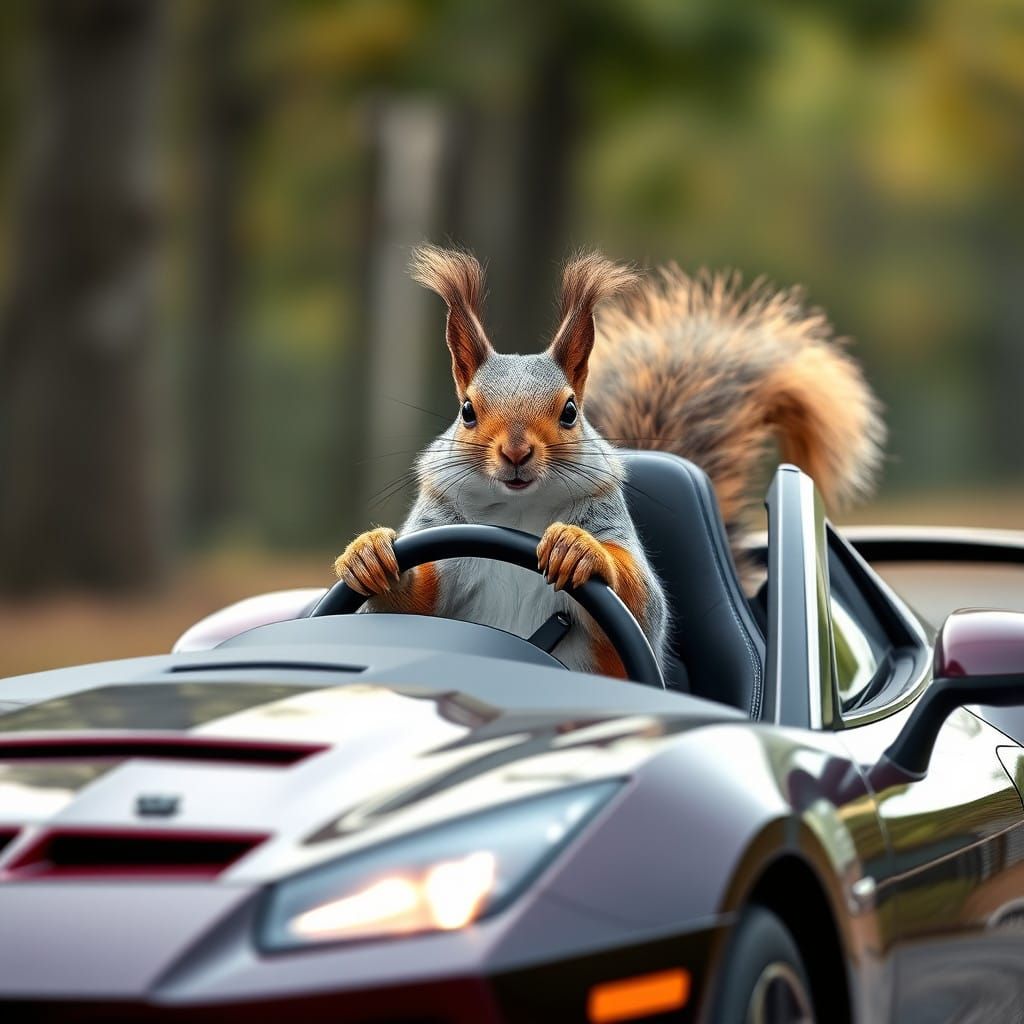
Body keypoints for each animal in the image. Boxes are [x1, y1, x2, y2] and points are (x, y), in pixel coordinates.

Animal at [333, 245, 885, 679]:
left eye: (570, 411)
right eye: (467, 411)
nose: (516, 451)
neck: (516, 511)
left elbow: (642, 605)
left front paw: (580, 550)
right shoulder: (440, 535)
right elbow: (412, 603)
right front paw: (370, 554)